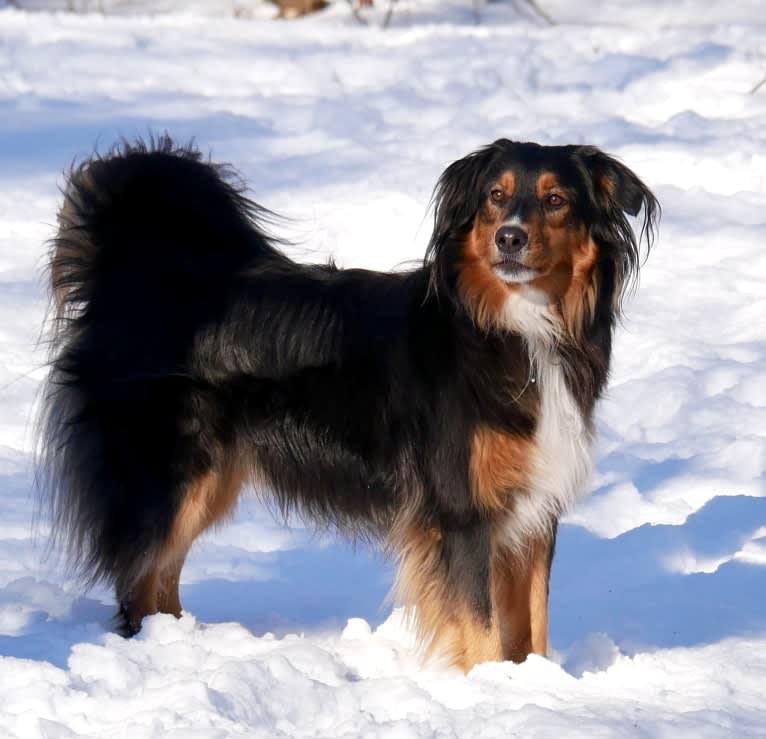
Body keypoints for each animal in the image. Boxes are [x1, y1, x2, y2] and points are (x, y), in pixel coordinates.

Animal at [39, 136, 656, 672]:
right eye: (494, 198)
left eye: (556, 201)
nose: (508, 238)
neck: (513, 331)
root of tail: (139, 281)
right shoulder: (461, 511)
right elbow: (480, 626)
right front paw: (489, 691)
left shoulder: (533, 510)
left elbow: (532, 623)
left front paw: (534, 684)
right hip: (170, 476)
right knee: (137, 578)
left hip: (208, 480)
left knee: (159, 576)